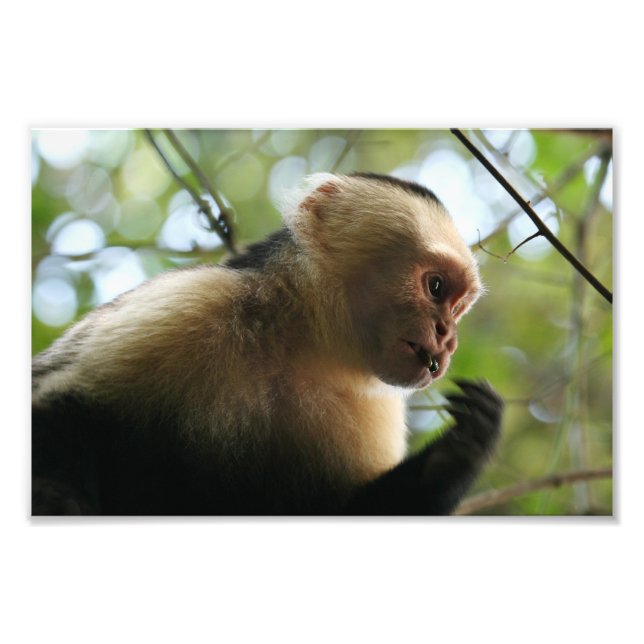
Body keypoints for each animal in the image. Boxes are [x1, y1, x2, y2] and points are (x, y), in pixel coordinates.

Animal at [31, 172, 503, 516]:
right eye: (435, 287)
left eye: (458, 308)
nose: (448, 337)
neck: (294, 342)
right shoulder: (194, 302)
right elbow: (57, 404)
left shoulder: (372, 405)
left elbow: (343, 507)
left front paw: (459, 450)